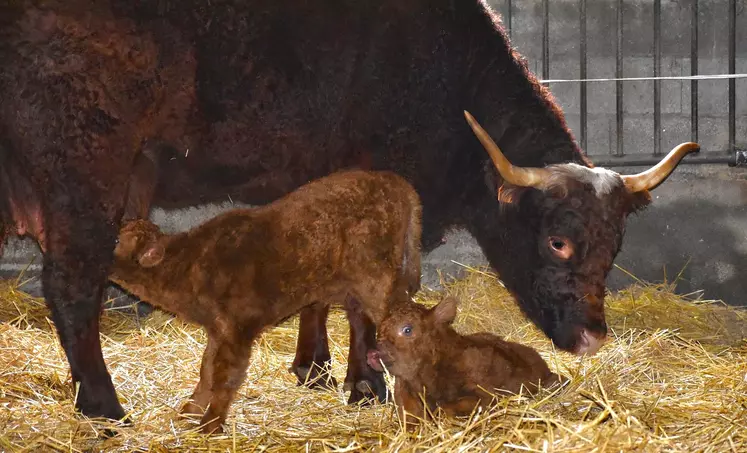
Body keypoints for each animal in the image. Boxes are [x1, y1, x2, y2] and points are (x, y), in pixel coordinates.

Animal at [109, 169, 424, 430]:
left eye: (115, 240)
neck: (190, 264)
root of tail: (397, 182)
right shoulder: (218, 330)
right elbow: (207, 370)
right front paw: (189, 413)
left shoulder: (237, 328)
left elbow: (226, 375)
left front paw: (210, 425)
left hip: (377, 281)